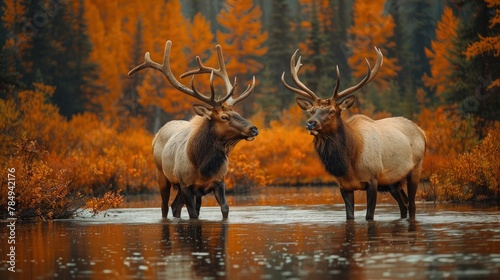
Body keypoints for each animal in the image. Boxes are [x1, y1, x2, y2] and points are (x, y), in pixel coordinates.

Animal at [129, 40, 258, 219]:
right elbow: (193, 214)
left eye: (237, 113)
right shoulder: (186, 185)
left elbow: (225, 208)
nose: (253, 129)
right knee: (164, 206)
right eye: (224, 117)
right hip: (161, 175)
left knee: (175, 206)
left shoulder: (219, 182)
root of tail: (156, 135)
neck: (203, 166)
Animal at [282, 46, 426, 221]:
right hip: (393, 182)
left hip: (416, 168)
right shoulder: (344, 186)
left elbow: (369, 216)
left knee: (412, 205)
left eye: (332, 111)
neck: (349, 163)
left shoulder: (373, 179)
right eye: (312, 111)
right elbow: (349, 217)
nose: (310, 123)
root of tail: (422, 132)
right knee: (403, 204)